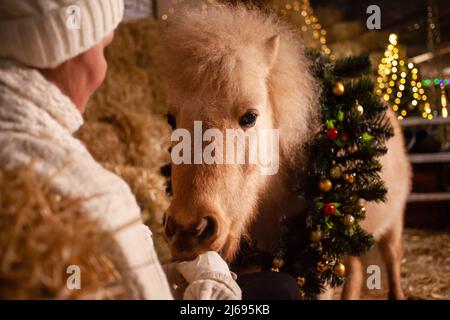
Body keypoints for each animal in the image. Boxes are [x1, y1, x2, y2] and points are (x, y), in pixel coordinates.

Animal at [162, 4, 412, 300]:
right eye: (171, 119)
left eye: (250, 116)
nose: (188, 231)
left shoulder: (320, 270)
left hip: (393, 223)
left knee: (392, 258)